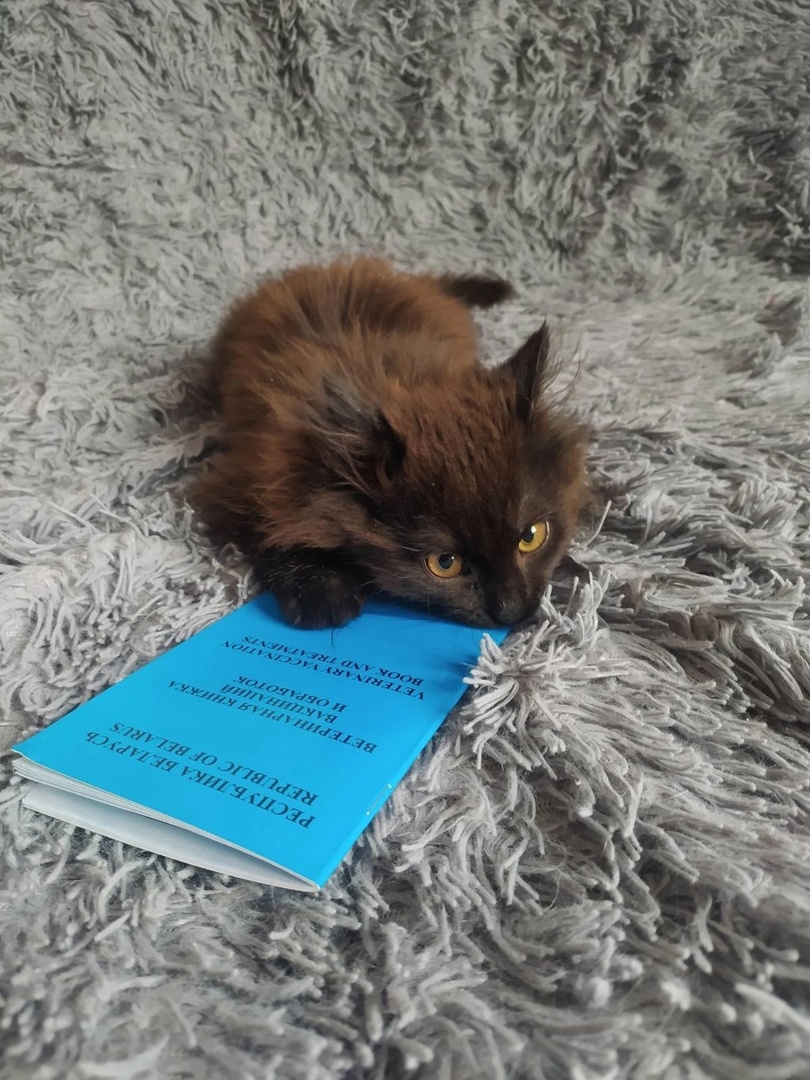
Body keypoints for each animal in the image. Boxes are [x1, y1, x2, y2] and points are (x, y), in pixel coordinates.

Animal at [190, 257, 587, 629]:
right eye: (445, 563)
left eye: (531, 536)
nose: (511, 610)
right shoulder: (243, 480)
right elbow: (266, 529)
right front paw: (320, 588)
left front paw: (569, 568)